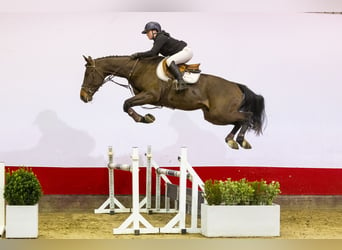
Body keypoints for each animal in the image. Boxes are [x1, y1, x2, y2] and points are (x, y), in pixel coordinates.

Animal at [81, 55, 268, 149]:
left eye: (88, 74)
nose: (83, 96)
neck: (138, 68)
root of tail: (236, 85)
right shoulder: (144, 95)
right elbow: (127, 104)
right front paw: (146, 117)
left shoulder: (151, 95)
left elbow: (126, 104)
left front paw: (143, 118)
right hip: (213, 116)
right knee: (239, 120)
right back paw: (231, 140)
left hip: (219, 113)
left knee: (246, 116)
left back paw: (241, 140)